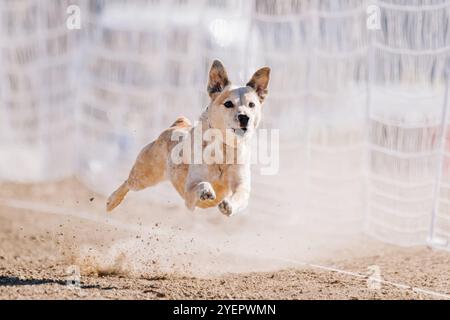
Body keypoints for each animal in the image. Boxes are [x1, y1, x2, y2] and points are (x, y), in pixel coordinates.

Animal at [106, 59, 270, 218]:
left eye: (251, 104)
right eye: (228, 103)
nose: (244, 117)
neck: (223, 150)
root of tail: (178, 124)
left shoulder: (241, 183)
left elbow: (240, 194)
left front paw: (228, 205)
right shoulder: (189, 194)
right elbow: (199, 185)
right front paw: (206, 191)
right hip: (145, 175)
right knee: (128, 182)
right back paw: (112, 201)